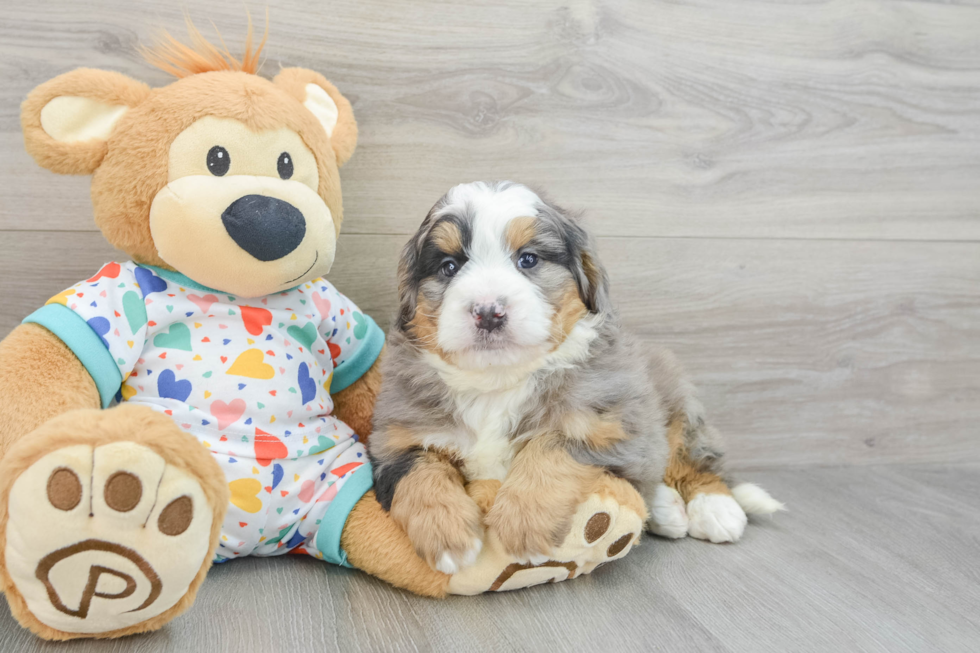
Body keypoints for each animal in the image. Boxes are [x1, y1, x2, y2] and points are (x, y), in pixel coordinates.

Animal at [368, 181, 780, 572]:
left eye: (528, 259)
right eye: (449, 267)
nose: (488, 312)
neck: (498, 382)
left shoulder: (614, 427)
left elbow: (552, 445)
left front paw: (523, 523)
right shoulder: (394, 440)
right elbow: (419, 472)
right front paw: (447, 535)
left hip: (675, 404)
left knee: (694, 460)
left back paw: (716, 508)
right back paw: (667, 510)